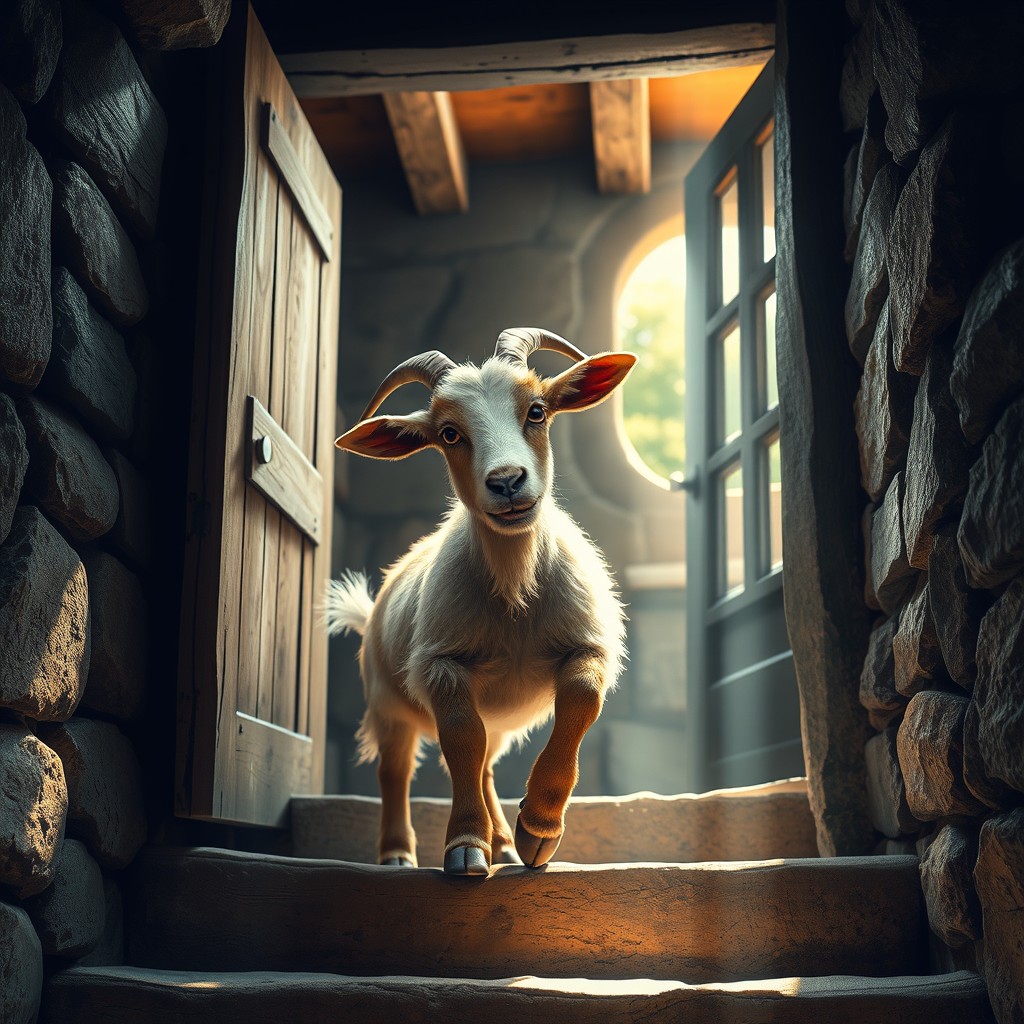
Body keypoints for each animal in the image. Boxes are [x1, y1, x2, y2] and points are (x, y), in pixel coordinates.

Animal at [326, 328, 635, 875]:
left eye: (537, 410)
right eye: (450, 433)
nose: (507, 481)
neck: (515, 597)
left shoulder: (588, 644)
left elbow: (580, 698)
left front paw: (537, 829)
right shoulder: (441, 662)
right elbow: (459, 738)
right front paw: (467, 845)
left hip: (494, 717)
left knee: (487, 766)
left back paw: (507, 844)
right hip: (386, 701)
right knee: (396, 771)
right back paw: (398, 854)